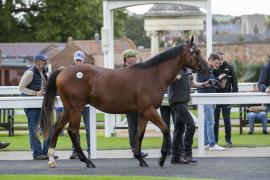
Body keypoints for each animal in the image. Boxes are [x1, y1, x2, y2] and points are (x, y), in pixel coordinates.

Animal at [39, 35, 209, 168]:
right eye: (197, 52)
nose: (208, 68)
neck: (152, 75)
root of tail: (63, 70)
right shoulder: (149, 110)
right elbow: (166, 129)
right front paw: (161, 159)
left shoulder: (143, 113)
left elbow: (139, 134)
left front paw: (140, 159)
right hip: (77, 108)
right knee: (72, 131)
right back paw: (87, 161)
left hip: (69, 109)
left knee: (58, 127)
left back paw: (52, 160)